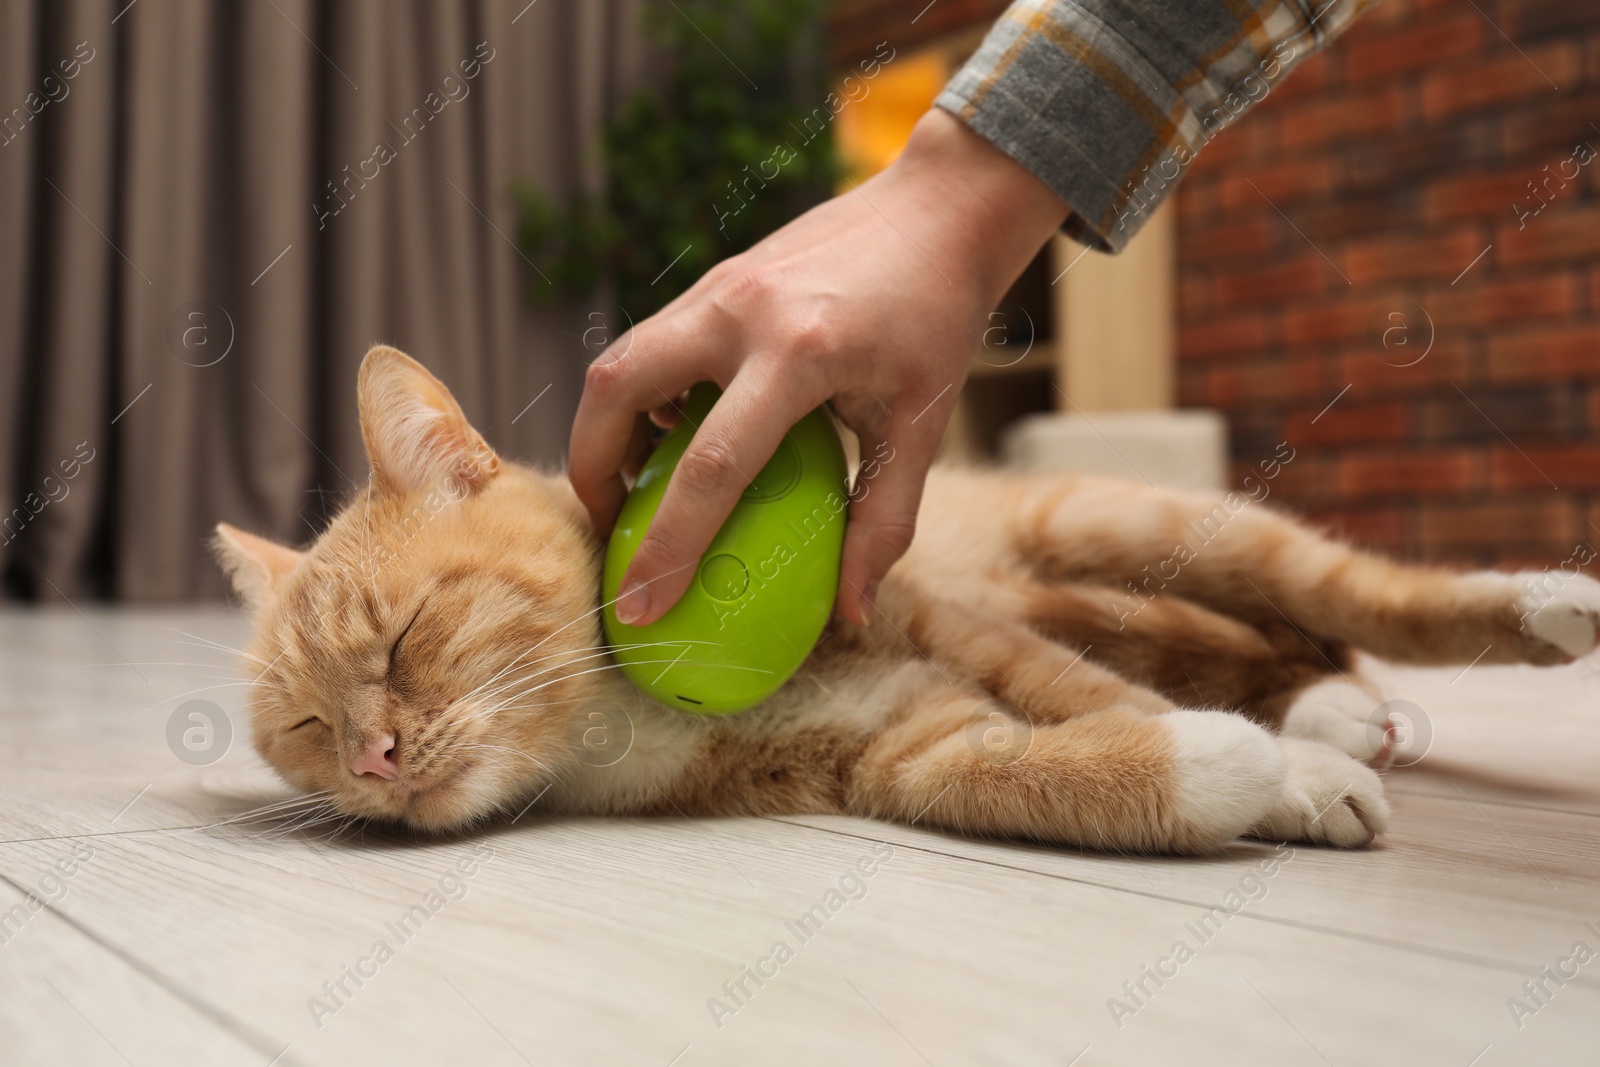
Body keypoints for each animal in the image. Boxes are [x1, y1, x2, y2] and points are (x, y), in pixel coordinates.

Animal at [212, 347, 1600, 857]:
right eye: (311, 729)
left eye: (407, 635)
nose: (377, 755)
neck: (610, 726)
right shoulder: (898, 750)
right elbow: (1044, 762)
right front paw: (1242, 771)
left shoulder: (939, 628)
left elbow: (1081, 695)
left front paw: (1295, 781)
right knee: (1253, 644)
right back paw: (1324, 712)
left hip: (1121, 526)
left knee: (1344, 601)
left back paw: (1540, 604)